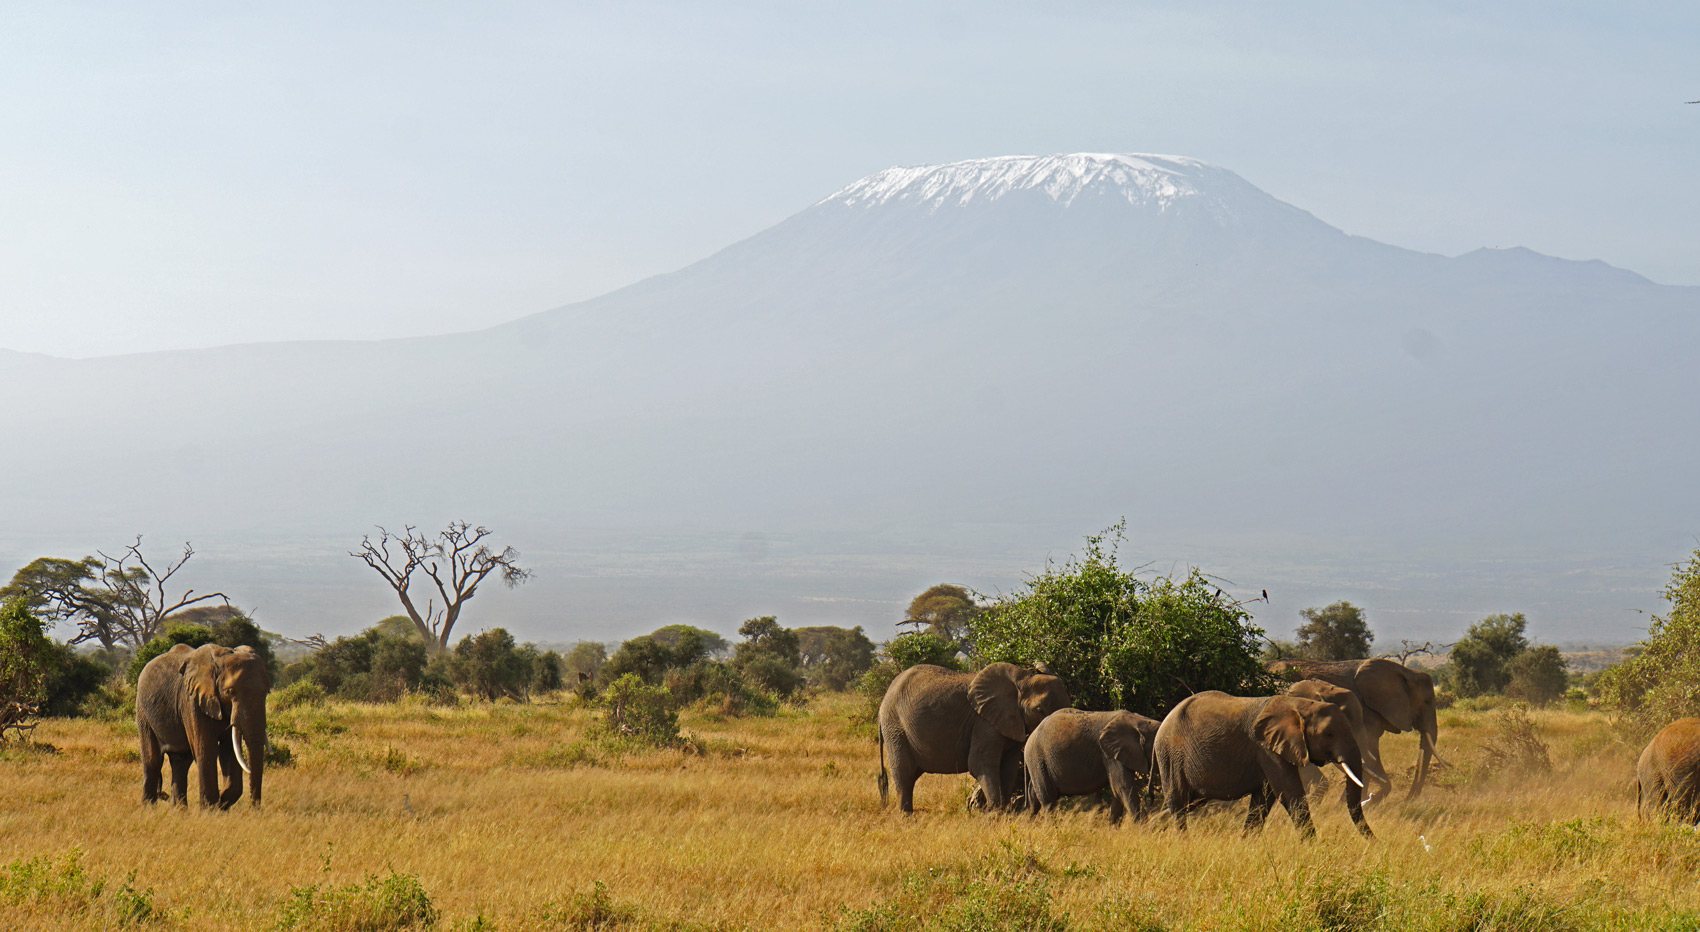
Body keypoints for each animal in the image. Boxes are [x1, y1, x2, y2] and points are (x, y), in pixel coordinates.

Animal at [137, 643, 272, 809]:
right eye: (230, 691)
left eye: (267, 692)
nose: (254, 808)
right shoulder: (192, 700)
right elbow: (206, 748)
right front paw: (211, 809)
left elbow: (229, 749)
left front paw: (222, 802)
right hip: (143, 712)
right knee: (153, 759)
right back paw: (149, 808)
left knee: (181, 761)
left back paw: (179, 810)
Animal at [878, 662, 1071, 813]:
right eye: (1039, 710)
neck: (1021, 679)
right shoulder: (984, 723)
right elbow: (980, 764)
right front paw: (995, 814)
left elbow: (1008, 767)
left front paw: (1005, 813)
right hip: (895, 727)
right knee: (904, 772)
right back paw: (906, 817)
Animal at [1023, 708, 1160, 823]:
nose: (1150, 798)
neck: (1138, 720)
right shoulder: (1109, 754)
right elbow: (1123, 786)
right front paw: (1142, 829)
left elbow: (1117, 791)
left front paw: (1113, 829)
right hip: (1038, 757)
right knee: (1048, 799)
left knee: (1034, 795)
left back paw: (1028, 823)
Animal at [1153, 690, 1373, 838]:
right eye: (1329, 734)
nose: (1375, 843)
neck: (1297, 705)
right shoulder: (1266, 749)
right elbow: (1288, 792)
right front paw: (1313, 848)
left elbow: (1264, 799)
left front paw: (1245, 843)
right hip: (1170, 755)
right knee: (1179, 801)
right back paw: (1182, 840)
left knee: (1190, 802)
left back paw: (1153, 825)